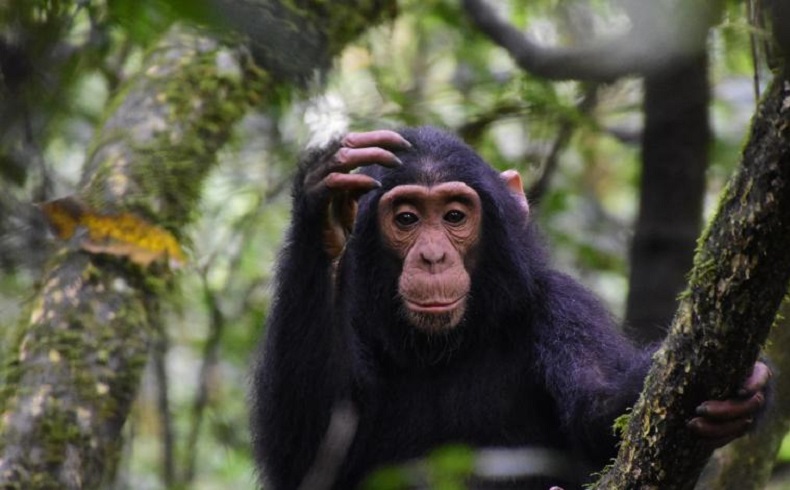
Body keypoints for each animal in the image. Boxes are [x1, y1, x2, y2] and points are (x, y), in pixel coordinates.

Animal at [251, 127, 772, 490]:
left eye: (454, 216)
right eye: (407, 219)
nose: (433, 256)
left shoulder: (562, 309)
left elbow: (601, 412)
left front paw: (742, 392)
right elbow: (309, 454)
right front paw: (325, 204)